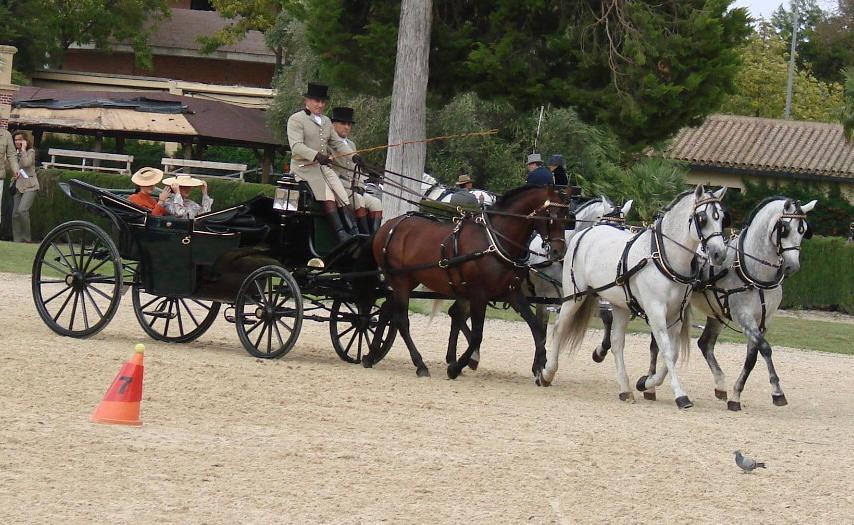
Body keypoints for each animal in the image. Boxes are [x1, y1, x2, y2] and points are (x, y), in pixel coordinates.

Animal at [362, 184, 576, 376]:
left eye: (567, 218)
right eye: (550, 216)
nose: (558, 252)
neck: (494, 242)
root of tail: (388, 226)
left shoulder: (512, 292)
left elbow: (537, 329)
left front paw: (542, 368)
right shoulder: (479, 294)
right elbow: (477, 334)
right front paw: (456, 367)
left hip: (407, 280)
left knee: (387, 311)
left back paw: (371, 355)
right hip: (399, 280)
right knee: (401, 320)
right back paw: (420, 364)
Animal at [540, 186, 728, 408]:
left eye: (722, 217)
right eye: (702, 218)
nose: (719, 254)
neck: (663, 257)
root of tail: (586, 232)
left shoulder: (676, 315)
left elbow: (672, 353)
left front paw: (646, 383)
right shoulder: (656, 311)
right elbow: (666, 351)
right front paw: (680, 395)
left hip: (620, 305)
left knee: (617, 343)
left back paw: (625, 389)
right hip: (574, 296)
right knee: (560, 328)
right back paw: (547, 373)